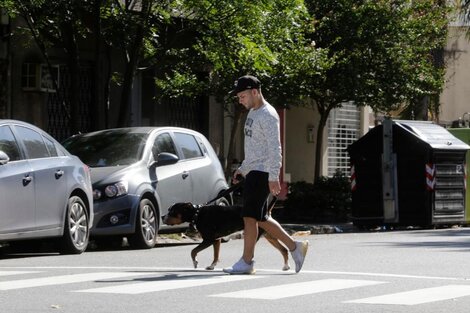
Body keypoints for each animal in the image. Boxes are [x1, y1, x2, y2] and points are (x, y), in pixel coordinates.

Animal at [162, 201, 290, 270]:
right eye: (169, 209)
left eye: (172, 211)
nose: (162, 217)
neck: (196, 214)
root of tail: (267, 211)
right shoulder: (216, 240)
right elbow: (216, 255)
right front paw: (212, 266)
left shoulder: (208, 239)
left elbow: (193, 251)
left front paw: (195, 262)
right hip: (270, 236)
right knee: (284, 249)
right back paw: (286, 266)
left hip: (257, 235)